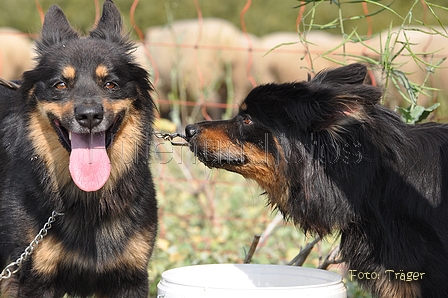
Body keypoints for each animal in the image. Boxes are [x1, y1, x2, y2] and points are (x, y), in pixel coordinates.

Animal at [0, 1, 158, 296]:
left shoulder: (130, 277)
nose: (89, 116)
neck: (87, 199)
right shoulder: (32, 278)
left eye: (110, 84)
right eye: (60, 84)